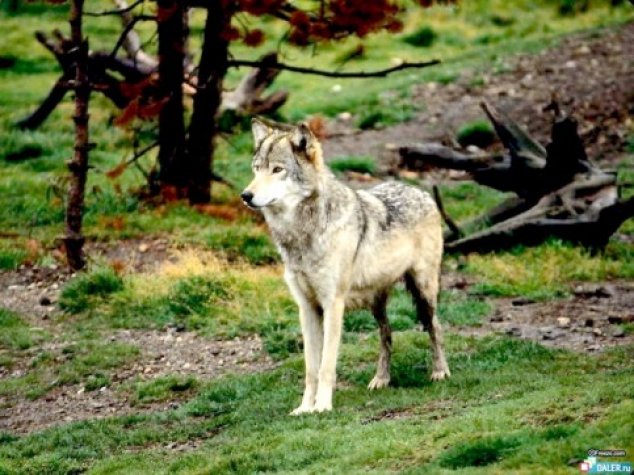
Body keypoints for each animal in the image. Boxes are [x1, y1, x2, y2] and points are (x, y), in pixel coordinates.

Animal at [242, 118, 450, 412]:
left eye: (277, 169)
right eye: (257, 168)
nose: (245, 195)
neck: (303, 235)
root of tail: (418, 190)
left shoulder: (333, 304)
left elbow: (326, 365)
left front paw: (322, 407)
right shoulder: (306, 308)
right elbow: (311, 368)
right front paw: (305, 408)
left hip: (424, 291)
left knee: (435, 327)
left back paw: (440, 372)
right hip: (376, 302)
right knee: (387, 334)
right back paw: (381, 379)